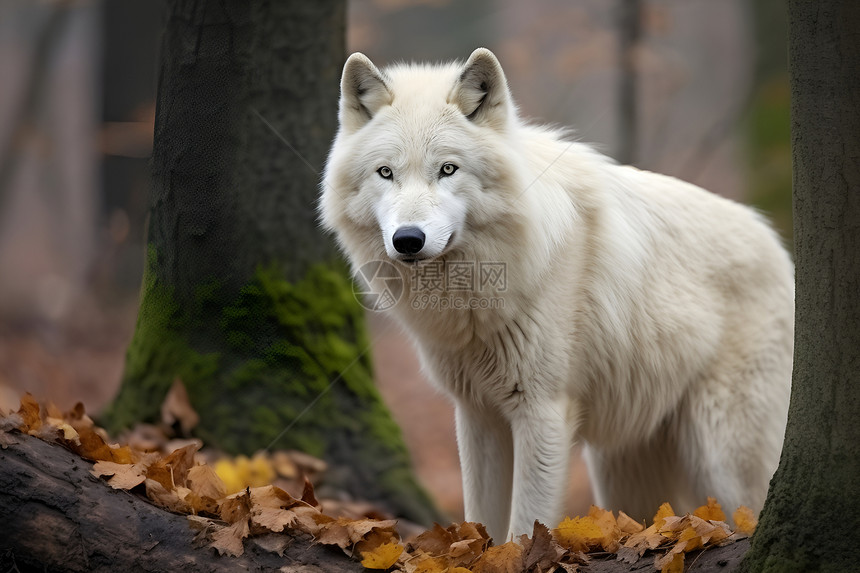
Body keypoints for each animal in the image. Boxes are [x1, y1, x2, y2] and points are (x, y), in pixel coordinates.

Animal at [320, 48, 792, 540]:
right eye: (386, 173)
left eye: (447, 169)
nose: (408, 240)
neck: (474, 300)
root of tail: (779, 248)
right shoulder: (477, 414)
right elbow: (481, 517)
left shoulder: (542, 411)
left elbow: (527, 521)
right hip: (622, 465)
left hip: (721, 455)